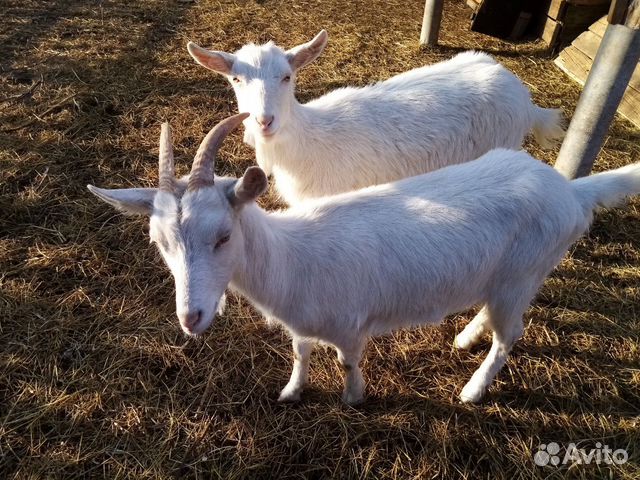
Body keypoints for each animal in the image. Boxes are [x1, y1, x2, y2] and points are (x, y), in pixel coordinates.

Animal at [89, 114, 640, 404]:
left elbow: (346, 359)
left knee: (511, 336)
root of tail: (569, 192)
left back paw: (473, 389)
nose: (191, 317)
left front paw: (354, 398)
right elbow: (300, 351)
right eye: (159, 243)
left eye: (223, 236)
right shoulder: (301, 322)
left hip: (522, 275)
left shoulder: (350, 324)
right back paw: (465, 337)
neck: (293, 258)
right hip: (507, 278)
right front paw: (292, 390)